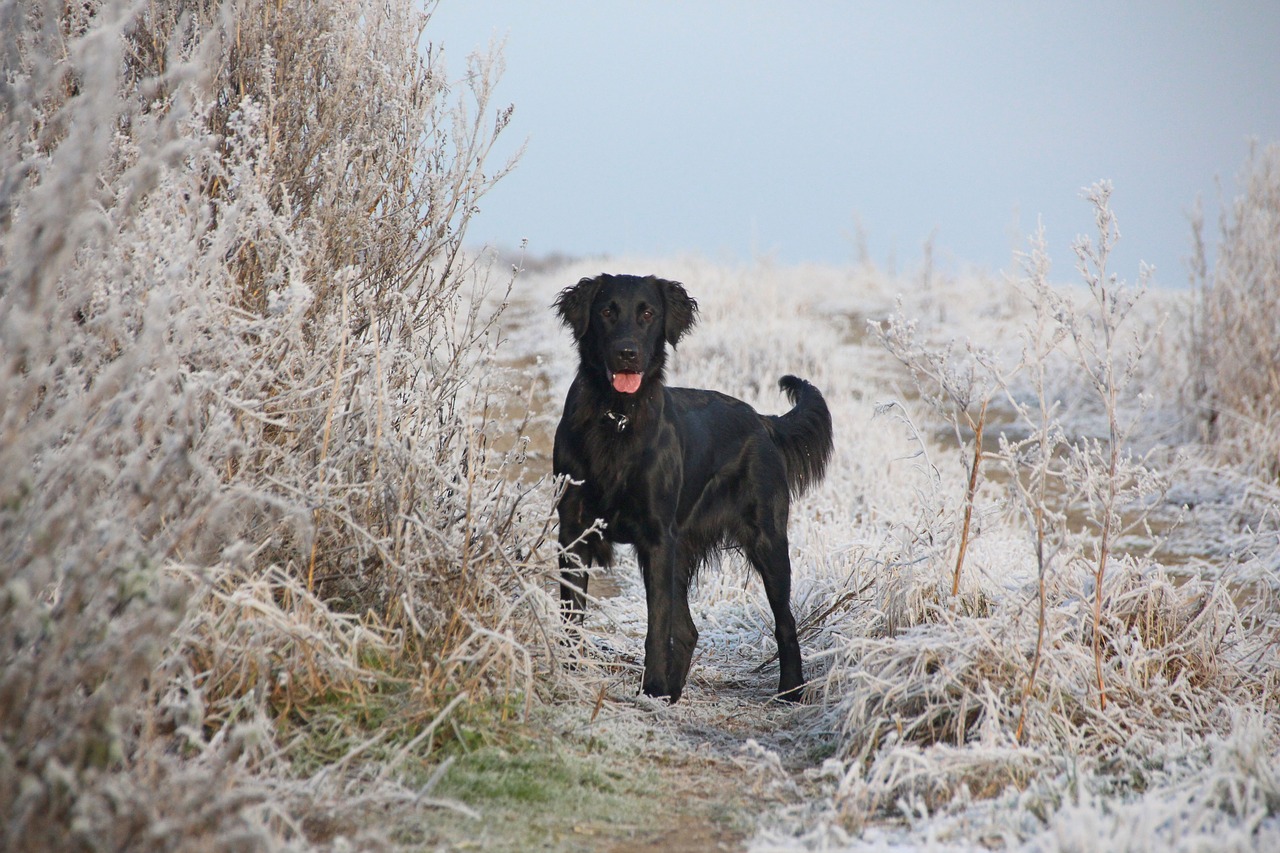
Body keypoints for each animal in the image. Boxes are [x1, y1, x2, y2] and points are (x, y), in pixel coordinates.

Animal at [547, 272, 829, 696]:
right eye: (606, 312)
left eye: (648, 313)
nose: (627, 353)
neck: (617, 417)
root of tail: (762, 421)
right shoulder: (574, 530)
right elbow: (571, 616)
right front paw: (568, 675)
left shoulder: (657, 539)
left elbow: (656, 625)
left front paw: (650, 689)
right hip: (683, 551)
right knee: (688, 630)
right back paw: (672, 695)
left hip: (766, 540)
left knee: (785, 622)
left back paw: (790, 691)